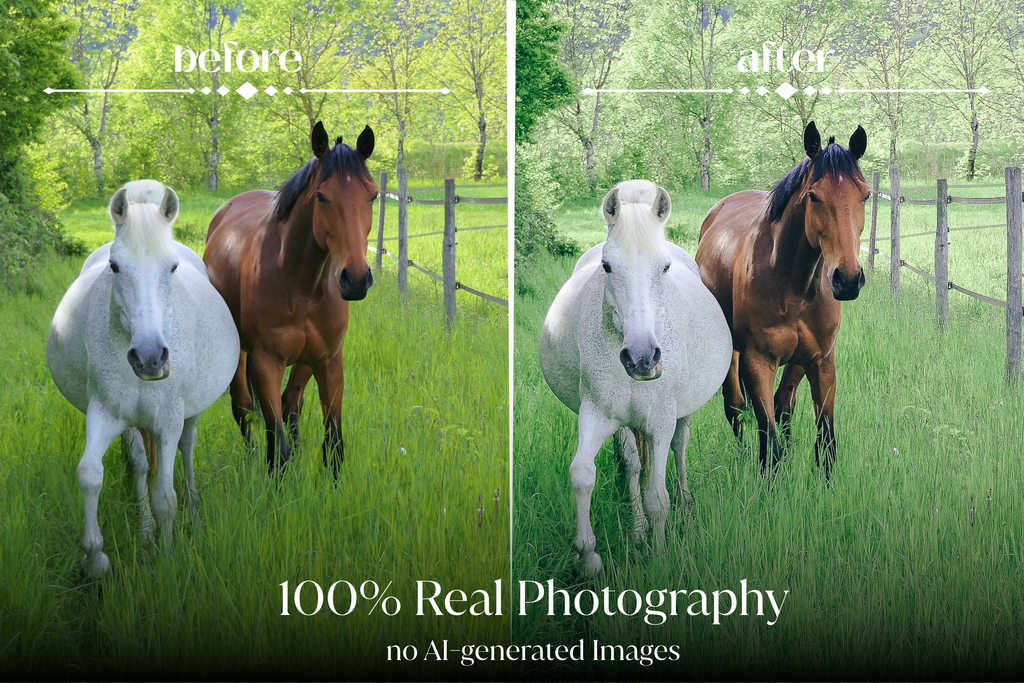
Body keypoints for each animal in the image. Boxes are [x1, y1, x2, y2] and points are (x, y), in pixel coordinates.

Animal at [47, 180, 240, 578]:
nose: (150, 357)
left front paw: (167, 560)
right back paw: (146, 529)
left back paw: (194, 505)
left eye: (172, 267)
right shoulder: (104, 414)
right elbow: (90, 474)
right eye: (115, 266)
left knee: (187, 447)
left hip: (189, 415)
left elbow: (166, 496)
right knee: (139, 465)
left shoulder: (168, 422)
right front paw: (96, 558)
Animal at [203, 122, 377, 477]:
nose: (355, 279)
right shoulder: (266, 362)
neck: (301, 285)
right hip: (241, 353)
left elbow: (333, 446)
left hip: (305, 361)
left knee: (291, 403)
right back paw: (250, 457)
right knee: (243, 407)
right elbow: (277, 448)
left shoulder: (328, 361)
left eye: (374, 195)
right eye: (322, 196)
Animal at [539, 180, 732, 575]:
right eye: (607, 266)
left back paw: (686, 505)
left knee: (680, 447)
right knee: (631, 465)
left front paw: (660, 558)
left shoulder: (660, 422)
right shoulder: (595, 414)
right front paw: (588, 556)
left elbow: (658, 495)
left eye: (665, 267)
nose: (642, 358)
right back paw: (639, 530)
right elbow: (583, 475)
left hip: (681, 415)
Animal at [695, 121, 869, 482]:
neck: (792, 284)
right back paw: (743, 456)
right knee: (736, 406)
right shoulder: (759, 362)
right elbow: (769, 443)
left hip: (799, 360)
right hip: (733, 353)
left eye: (866, 195)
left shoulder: (821, 361)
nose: (847, 279)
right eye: (814, 196)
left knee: (784, 402)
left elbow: (825, 443)